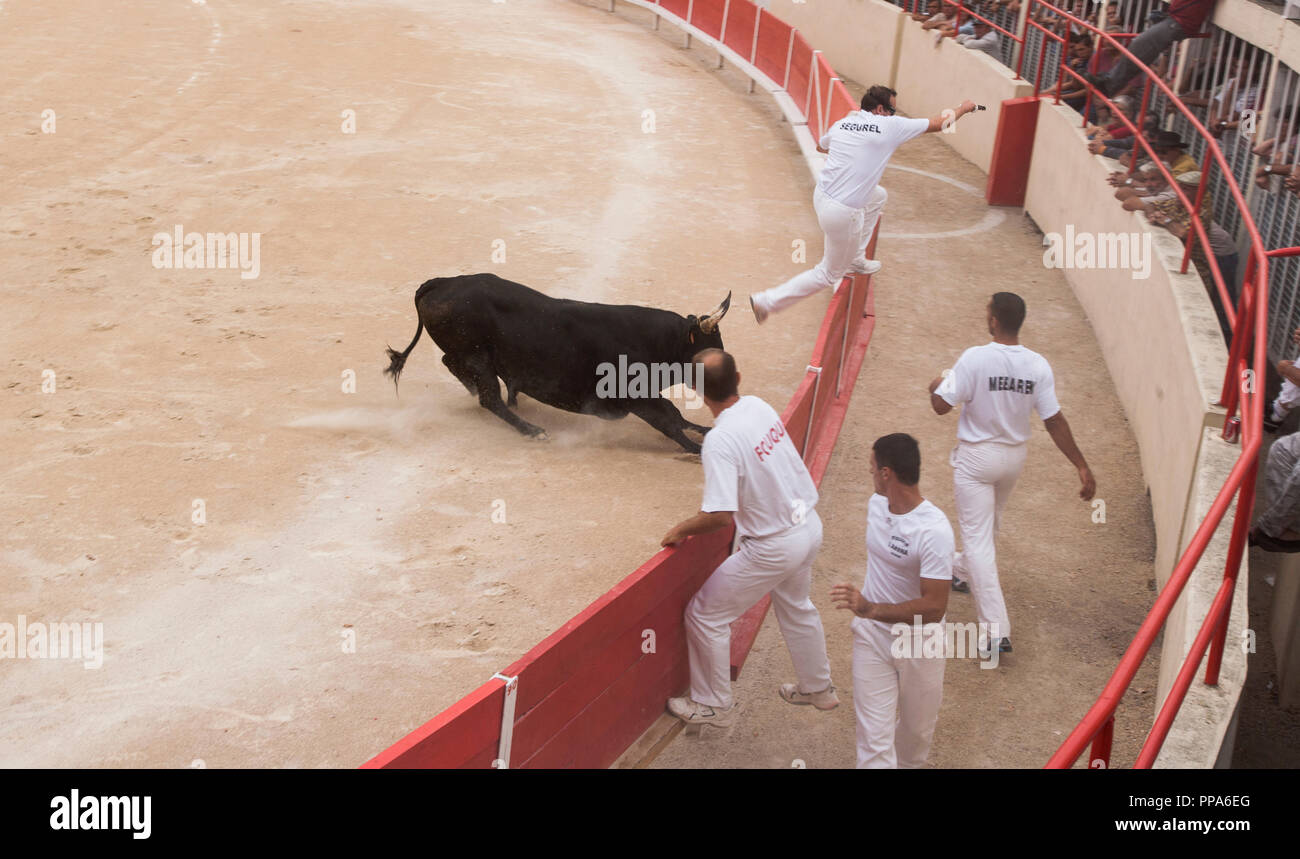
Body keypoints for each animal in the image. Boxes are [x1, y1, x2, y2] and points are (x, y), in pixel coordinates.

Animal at [382, 274, 733, 452]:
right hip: (477, 357)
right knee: (489, 398)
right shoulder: (637, 397)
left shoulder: (646, 396)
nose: (730, 382)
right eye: (709, 353)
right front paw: (699, 449)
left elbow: (676, 416)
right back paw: (532, 430)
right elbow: (670, 422)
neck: (659, 340)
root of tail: (441, 282)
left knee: (453, 364)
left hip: (471, 355)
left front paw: (705, 429)